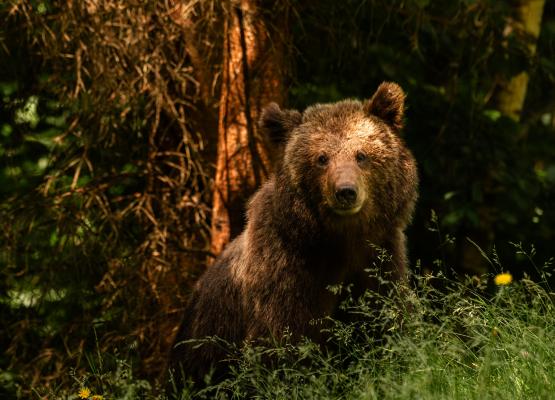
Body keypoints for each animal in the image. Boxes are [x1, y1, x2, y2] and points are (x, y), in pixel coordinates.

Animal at [169, 82, 416, 384]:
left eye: (362, 155)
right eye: (322, 158)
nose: (346, 192)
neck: (340, 241)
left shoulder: (380, 257)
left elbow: (385, 321)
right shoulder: (285, 269)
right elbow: (284, 342)